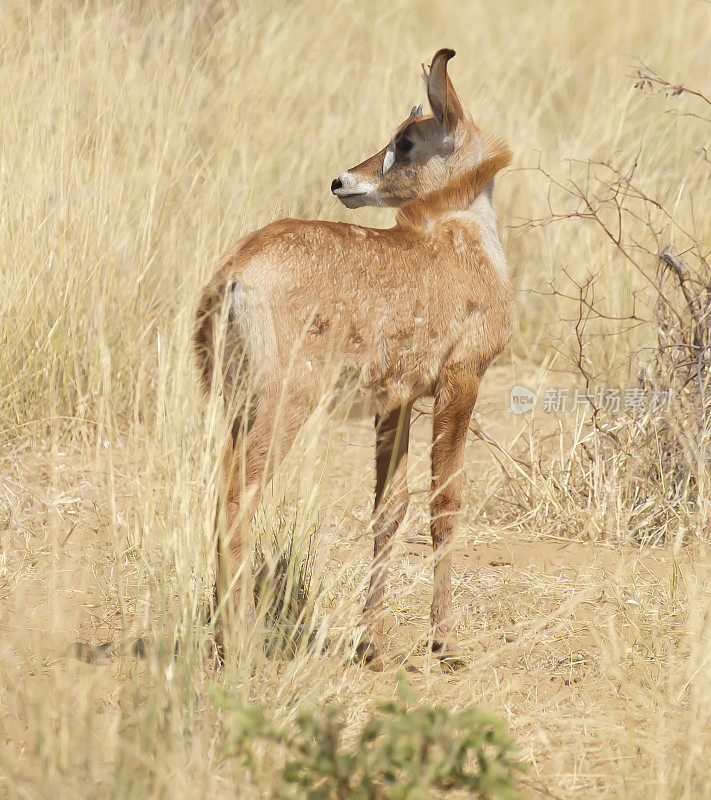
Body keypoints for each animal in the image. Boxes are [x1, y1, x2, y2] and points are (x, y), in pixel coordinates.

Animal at [195, 47, 516, 664]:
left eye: (406, 141)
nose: (343, 180)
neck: (464, 240)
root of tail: (234, 273)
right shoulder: (460, 381)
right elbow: (444, 504)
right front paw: (444, 640)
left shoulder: (397, 401)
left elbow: (388, 511)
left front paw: (373, 644)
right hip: (284, 404)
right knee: (238, 497)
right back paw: (241, 641)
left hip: (238, 403)